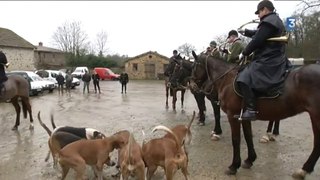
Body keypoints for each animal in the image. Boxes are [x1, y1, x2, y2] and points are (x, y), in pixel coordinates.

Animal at [190, 52, 320, 179]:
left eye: (195, 66)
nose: (192, 86)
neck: (226, 80)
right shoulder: (244, 117)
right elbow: (248, 136)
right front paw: (249, 159)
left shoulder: (232, 116)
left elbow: (236, 139)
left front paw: (234, 166)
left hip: (316, 116)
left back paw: (303, 170)